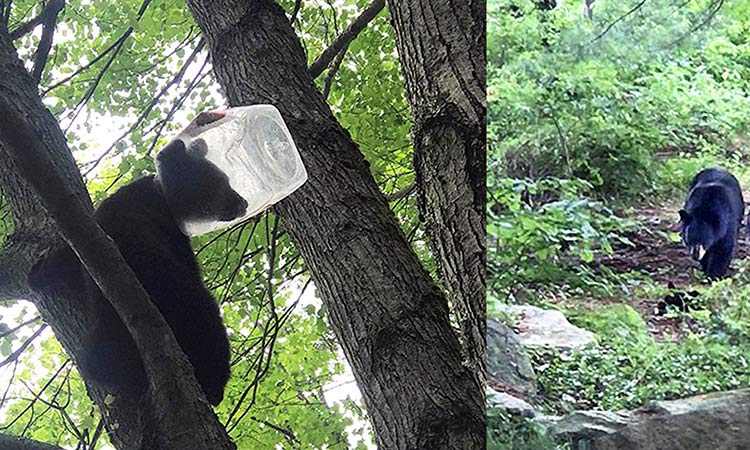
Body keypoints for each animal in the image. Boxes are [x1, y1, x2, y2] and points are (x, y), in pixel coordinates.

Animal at [29, 111, 247, 404]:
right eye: (223, 182)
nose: (242, 202)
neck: (159, 194)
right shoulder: (170, 234)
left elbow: (67, 260)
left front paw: (39, 273)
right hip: (180, 296)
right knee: (206, 321)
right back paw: (213, 384)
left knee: (97, 360)